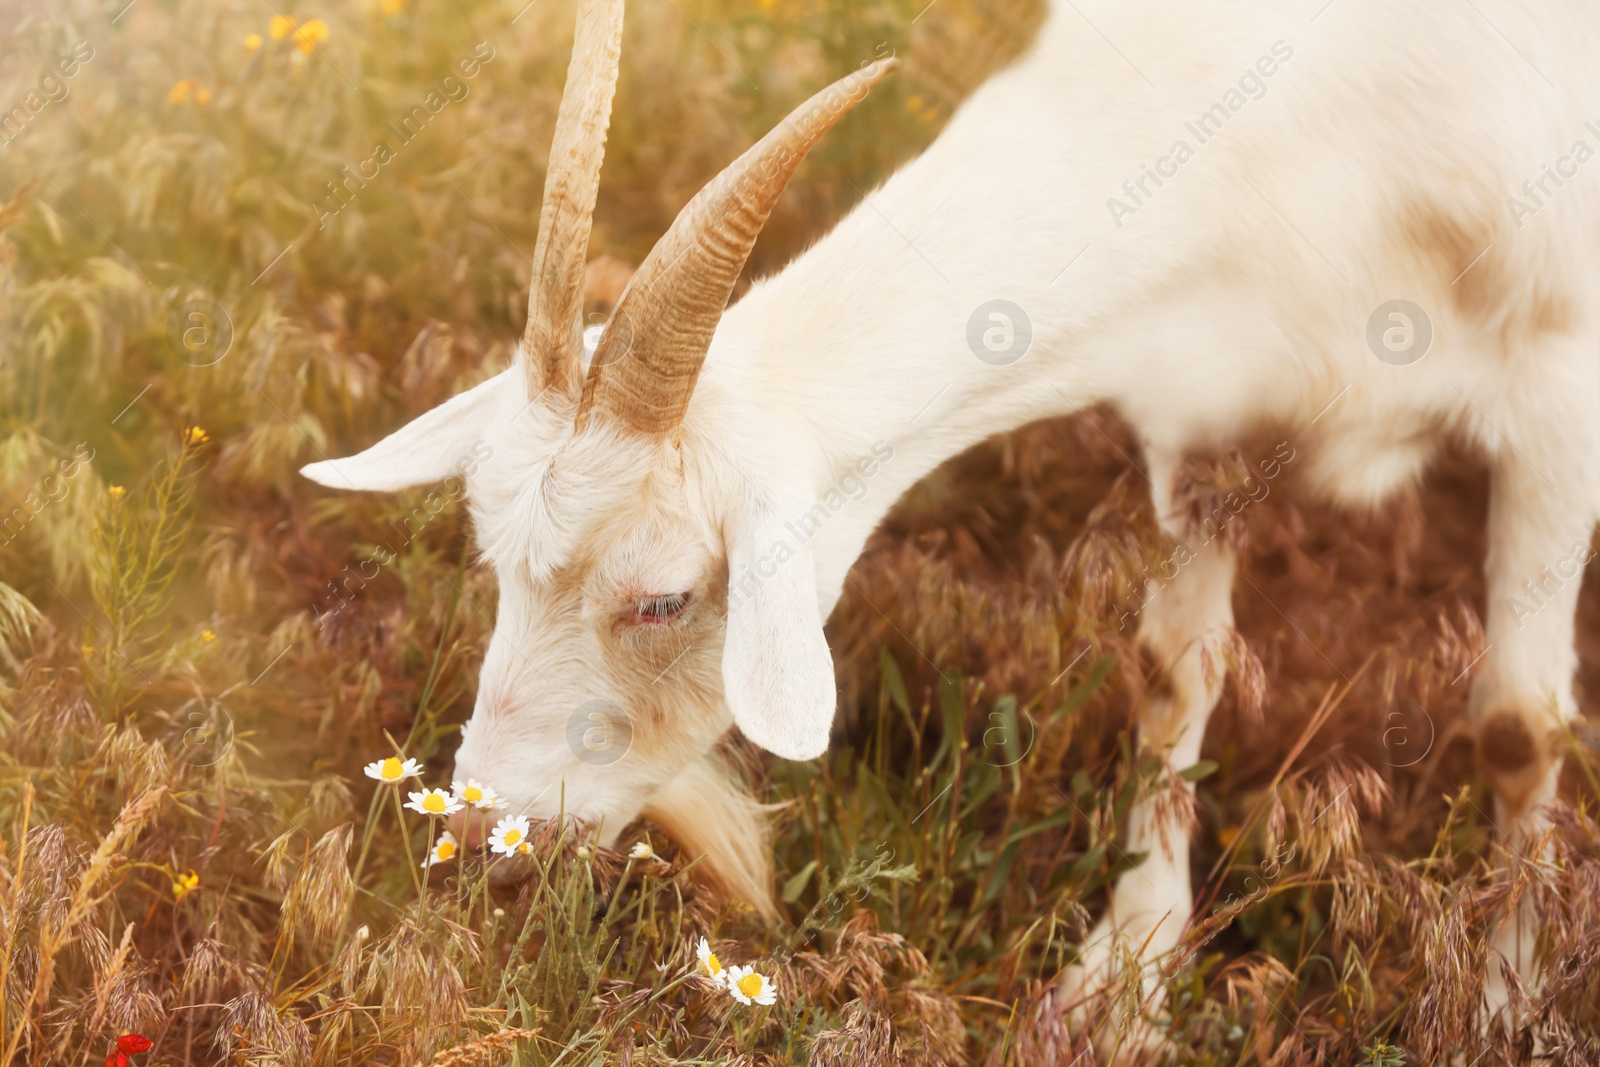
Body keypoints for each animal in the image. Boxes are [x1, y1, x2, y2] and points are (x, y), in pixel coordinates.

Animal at [308, 0, 1600, 1036]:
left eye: (664, 598)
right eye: (495, 561)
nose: (484, 834)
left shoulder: (1556, 385)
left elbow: (1518, 724)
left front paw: (1506, 995)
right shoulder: (1212, 401)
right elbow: (1171, 668)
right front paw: (1123, 984)